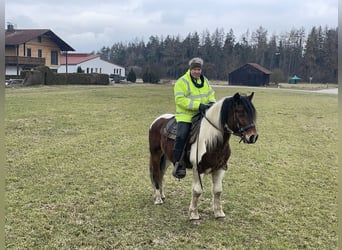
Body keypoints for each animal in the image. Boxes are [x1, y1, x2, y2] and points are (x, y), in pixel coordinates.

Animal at [148, 92, 258, 221]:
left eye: (252, 113)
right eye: (240, 112)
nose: (253, 137)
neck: (211, 140)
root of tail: (157, 121)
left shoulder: (221, 168)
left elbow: (218, 191)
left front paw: (219, 213)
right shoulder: (198, 169)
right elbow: (197, 191)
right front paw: (194, 214)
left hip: (166, 158)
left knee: (161, 174)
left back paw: (162, 194)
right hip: (155, 155)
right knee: (156, 174)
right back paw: (158, 198)